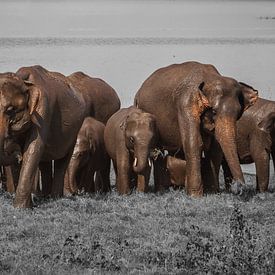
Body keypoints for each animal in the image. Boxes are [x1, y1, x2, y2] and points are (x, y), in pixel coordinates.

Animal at [135, 61, 260, 197]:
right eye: (214, 111)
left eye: (238, 115)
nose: (239, 188)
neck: (210, 77)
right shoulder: (186, 103)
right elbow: (193, 143)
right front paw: (195, 196)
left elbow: (216, 149)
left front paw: (212, 192)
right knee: (157, 151)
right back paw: (161, 190)